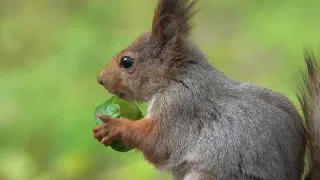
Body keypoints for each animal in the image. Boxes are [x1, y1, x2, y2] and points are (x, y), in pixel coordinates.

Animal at [92, 0, 320, 179]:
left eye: (126, 62)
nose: (100, 80)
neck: (176, 78)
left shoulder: (181, 108)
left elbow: (159, 143)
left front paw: (113, 126)